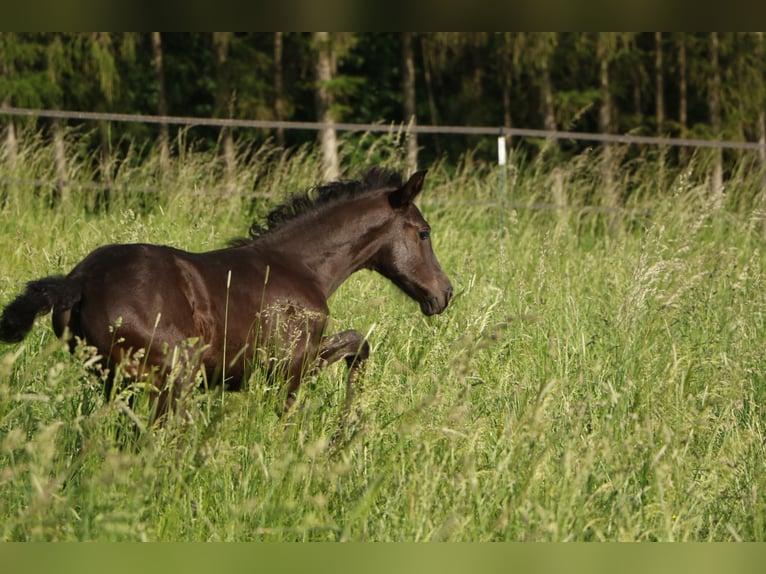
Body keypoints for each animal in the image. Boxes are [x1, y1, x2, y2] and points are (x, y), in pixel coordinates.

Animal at [0, 167, 453, 423]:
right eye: (424, 232)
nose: (444, 293)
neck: (300, 266)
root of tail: (79, 280)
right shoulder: (291, 365)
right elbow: (356, 347)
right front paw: (344, 427)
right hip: (171, 378)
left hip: (114, 381)